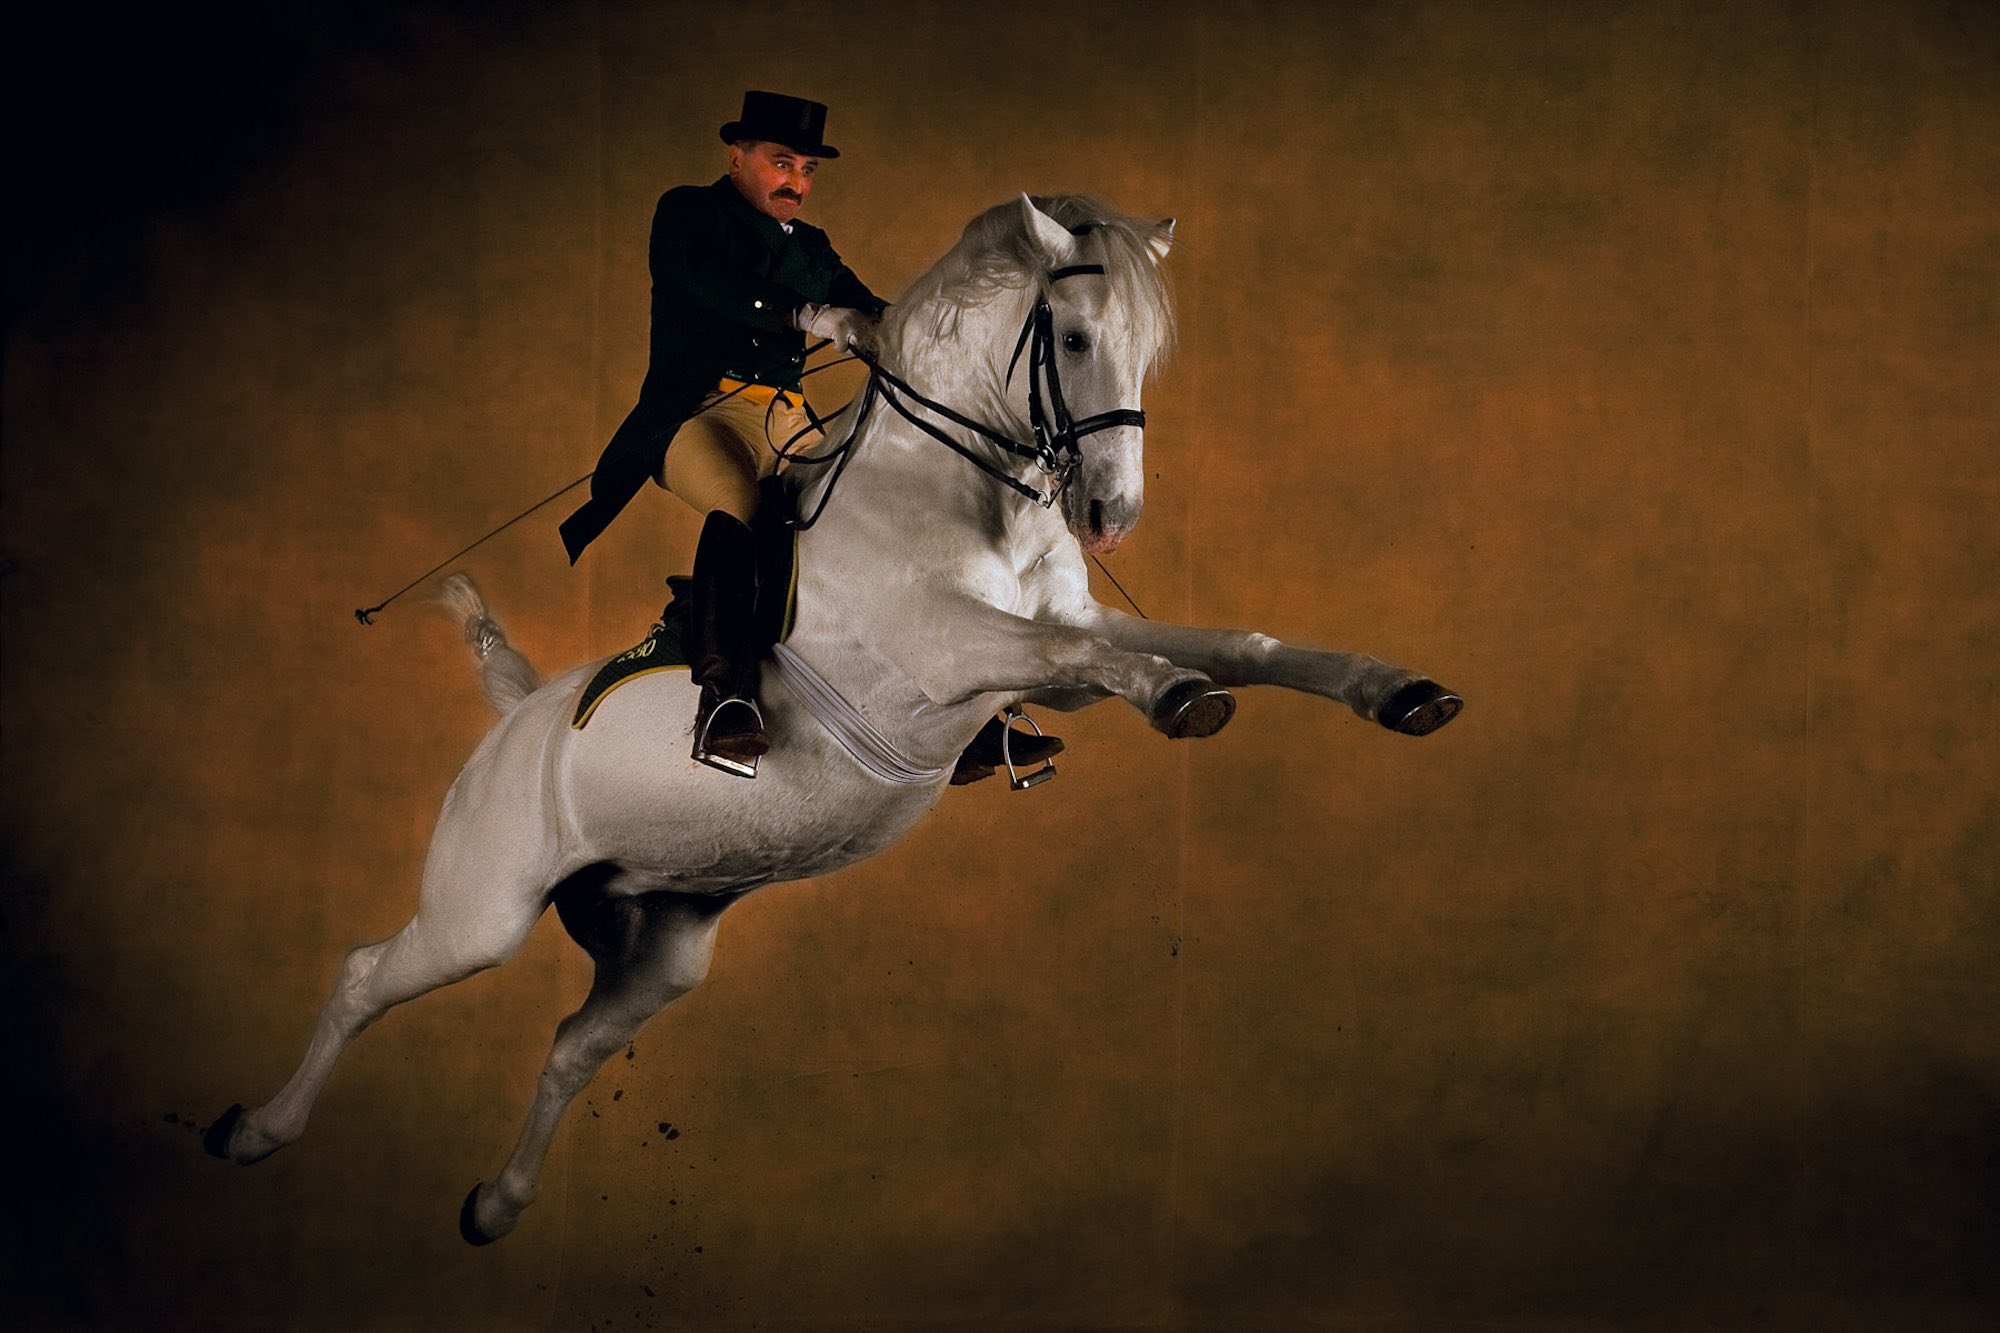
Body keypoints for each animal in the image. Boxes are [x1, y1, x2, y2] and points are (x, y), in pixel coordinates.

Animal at [203, 192, 1464, 1240]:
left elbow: (1232, 643)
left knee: (566, 1048)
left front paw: (1396, 691)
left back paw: (494, 1205)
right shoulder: (955, 648)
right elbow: (1095, 658)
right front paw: (1177, 699)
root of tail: (521, 716)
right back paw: (255, 1130)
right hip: (482, 911)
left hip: (661, 946)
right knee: (366, 977)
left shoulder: (1053, 628)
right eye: (1069, 339)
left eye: (1148, 349)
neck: (969, 494)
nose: (1112, 514)